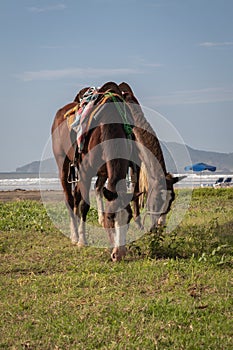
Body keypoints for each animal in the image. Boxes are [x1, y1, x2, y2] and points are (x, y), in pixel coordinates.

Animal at [51, 81, 135, 260]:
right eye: (111, 217)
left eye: (129, 218)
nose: (118, 254)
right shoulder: (85, 171)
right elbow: (84, 205)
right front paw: (82, 241)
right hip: (63, 164)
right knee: (70, 200)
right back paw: (74, 236)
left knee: (81, 194)